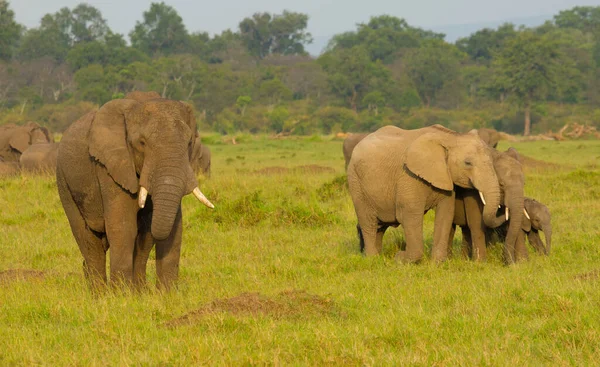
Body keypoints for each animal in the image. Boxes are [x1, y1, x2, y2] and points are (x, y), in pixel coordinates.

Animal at [56, 98, 214, 294]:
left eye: (189, 143)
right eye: (142, 143)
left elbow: (171, 228)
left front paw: (164, 295)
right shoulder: (110, 168)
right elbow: (123, 226)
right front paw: (121, 295)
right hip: (64, 182)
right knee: (87, 238)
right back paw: (99, 294)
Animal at [346, 125, 502, 264]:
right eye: (468, 163)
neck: (450, 136)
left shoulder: (445, 177)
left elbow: (446, 213)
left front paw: (437, 263)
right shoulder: (409, 176)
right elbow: (409, 214)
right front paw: (400, 259)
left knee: (380, 226)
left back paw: (378, 257)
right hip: (356, 182)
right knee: (369, 222)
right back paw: (372, 259)